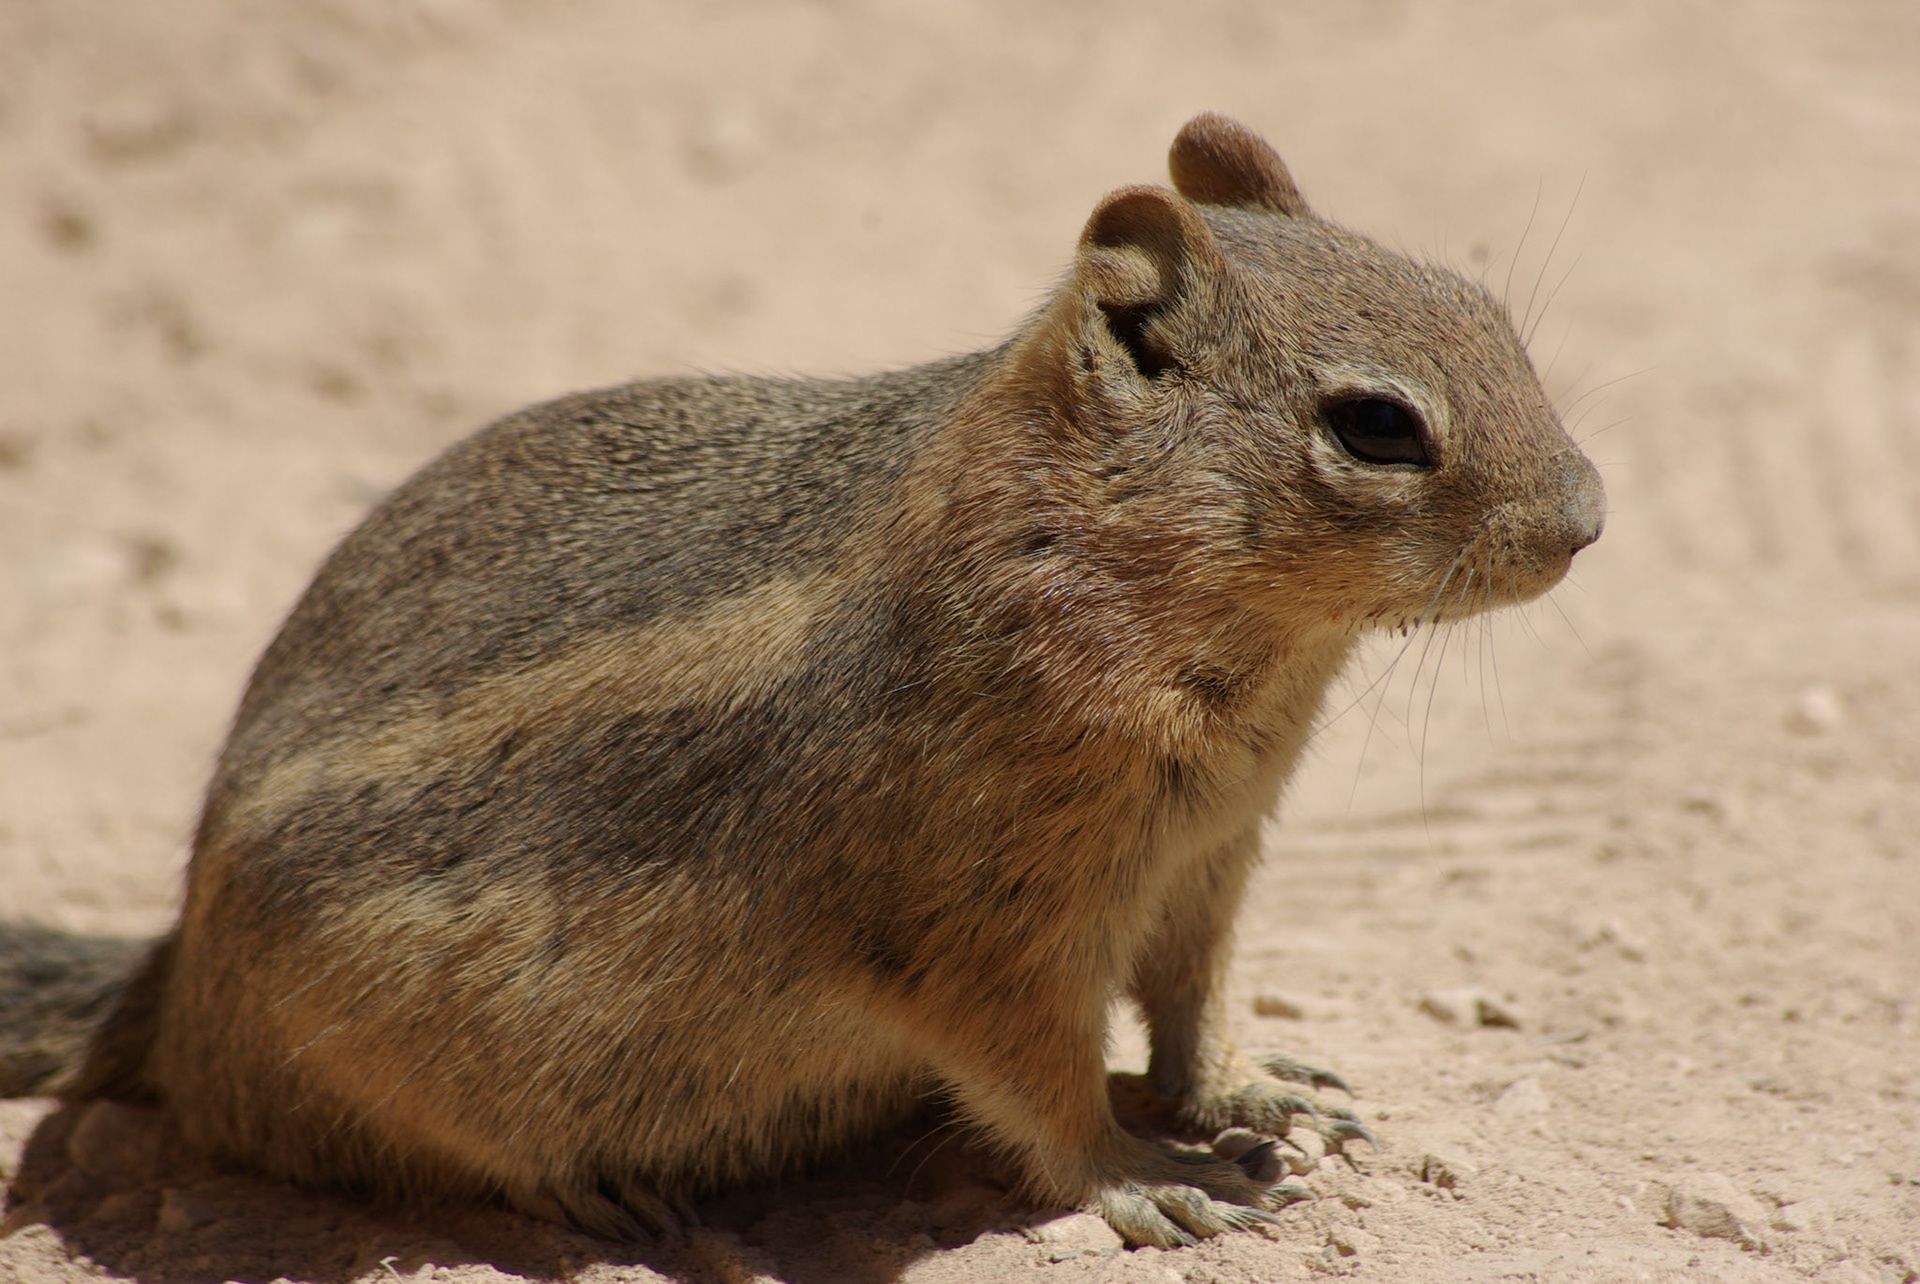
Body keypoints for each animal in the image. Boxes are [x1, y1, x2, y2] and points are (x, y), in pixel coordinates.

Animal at [0, 113, 1604, 1249]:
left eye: (1480, 304)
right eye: (1378, 425)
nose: (1586, 521)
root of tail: (174, 987)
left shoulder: (1204, 862)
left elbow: (1193, 1004)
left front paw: (1254, 1091)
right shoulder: (981, 924)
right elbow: (1040, 1077)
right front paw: (1138, 1175)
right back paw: (602, 1202)